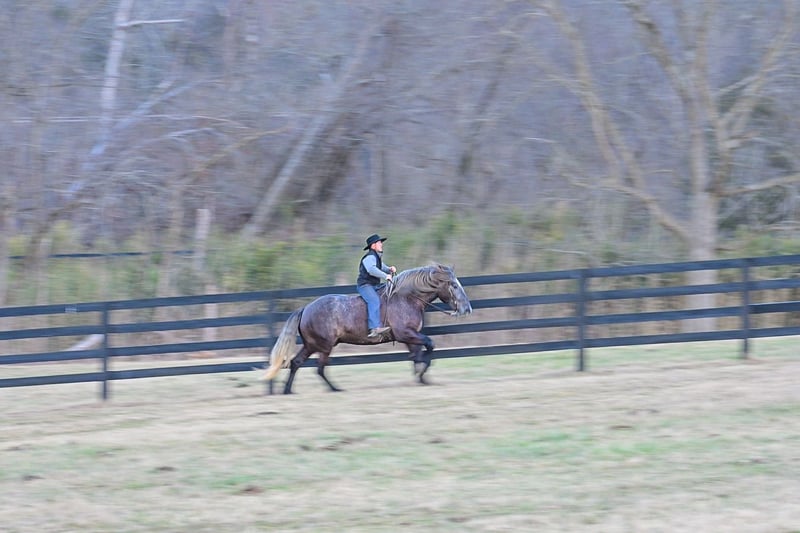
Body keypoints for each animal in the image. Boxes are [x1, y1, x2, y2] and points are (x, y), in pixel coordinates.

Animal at [259, 263, 472, 394]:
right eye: (453, 285)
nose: (467, 308)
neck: (407, 298)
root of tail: (305, 309)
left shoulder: (410, 338)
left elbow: (416, 356)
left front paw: (421, 378)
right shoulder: (407, 334)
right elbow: (429, 345)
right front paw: (423, 373)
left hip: (312, 345)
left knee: (296, 363)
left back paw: (288, 390)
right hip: (324, 346)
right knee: (319, 368)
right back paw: (335, 389)